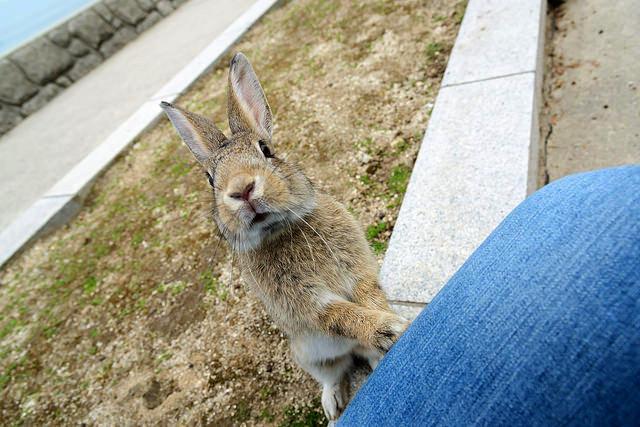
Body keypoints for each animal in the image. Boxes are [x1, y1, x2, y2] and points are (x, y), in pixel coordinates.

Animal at [162, 51, 408, 422]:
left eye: (265, 149)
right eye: (210, 179)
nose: (242, 189)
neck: (280, 230)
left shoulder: (358, 269)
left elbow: (369, 294)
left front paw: (396, 323)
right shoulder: (306, 304)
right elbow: (341, 316)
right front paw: (390, 328)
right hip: (310, 354)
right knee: (332, 372)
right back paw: (333, 404)